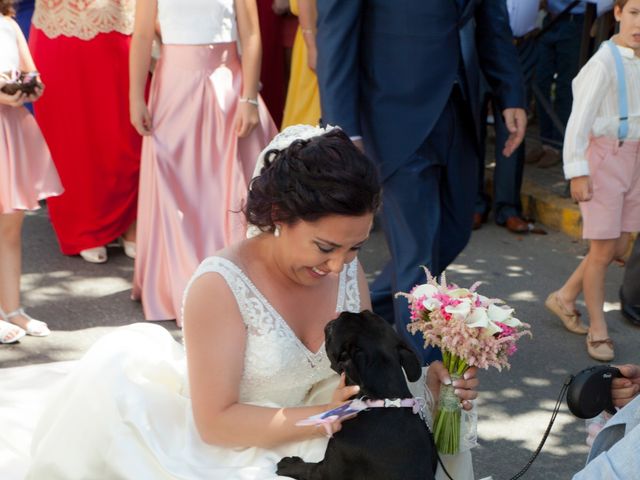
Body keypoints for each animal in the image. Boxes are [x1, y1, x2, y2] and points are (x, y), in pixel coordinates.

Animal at [278, 310, 438, 478]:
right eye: (366, 313)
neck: (384, 399)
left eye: (332, 329)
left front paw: (290, 465)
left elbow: (309, 470)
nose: (342, 313)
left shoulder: (329, 468)